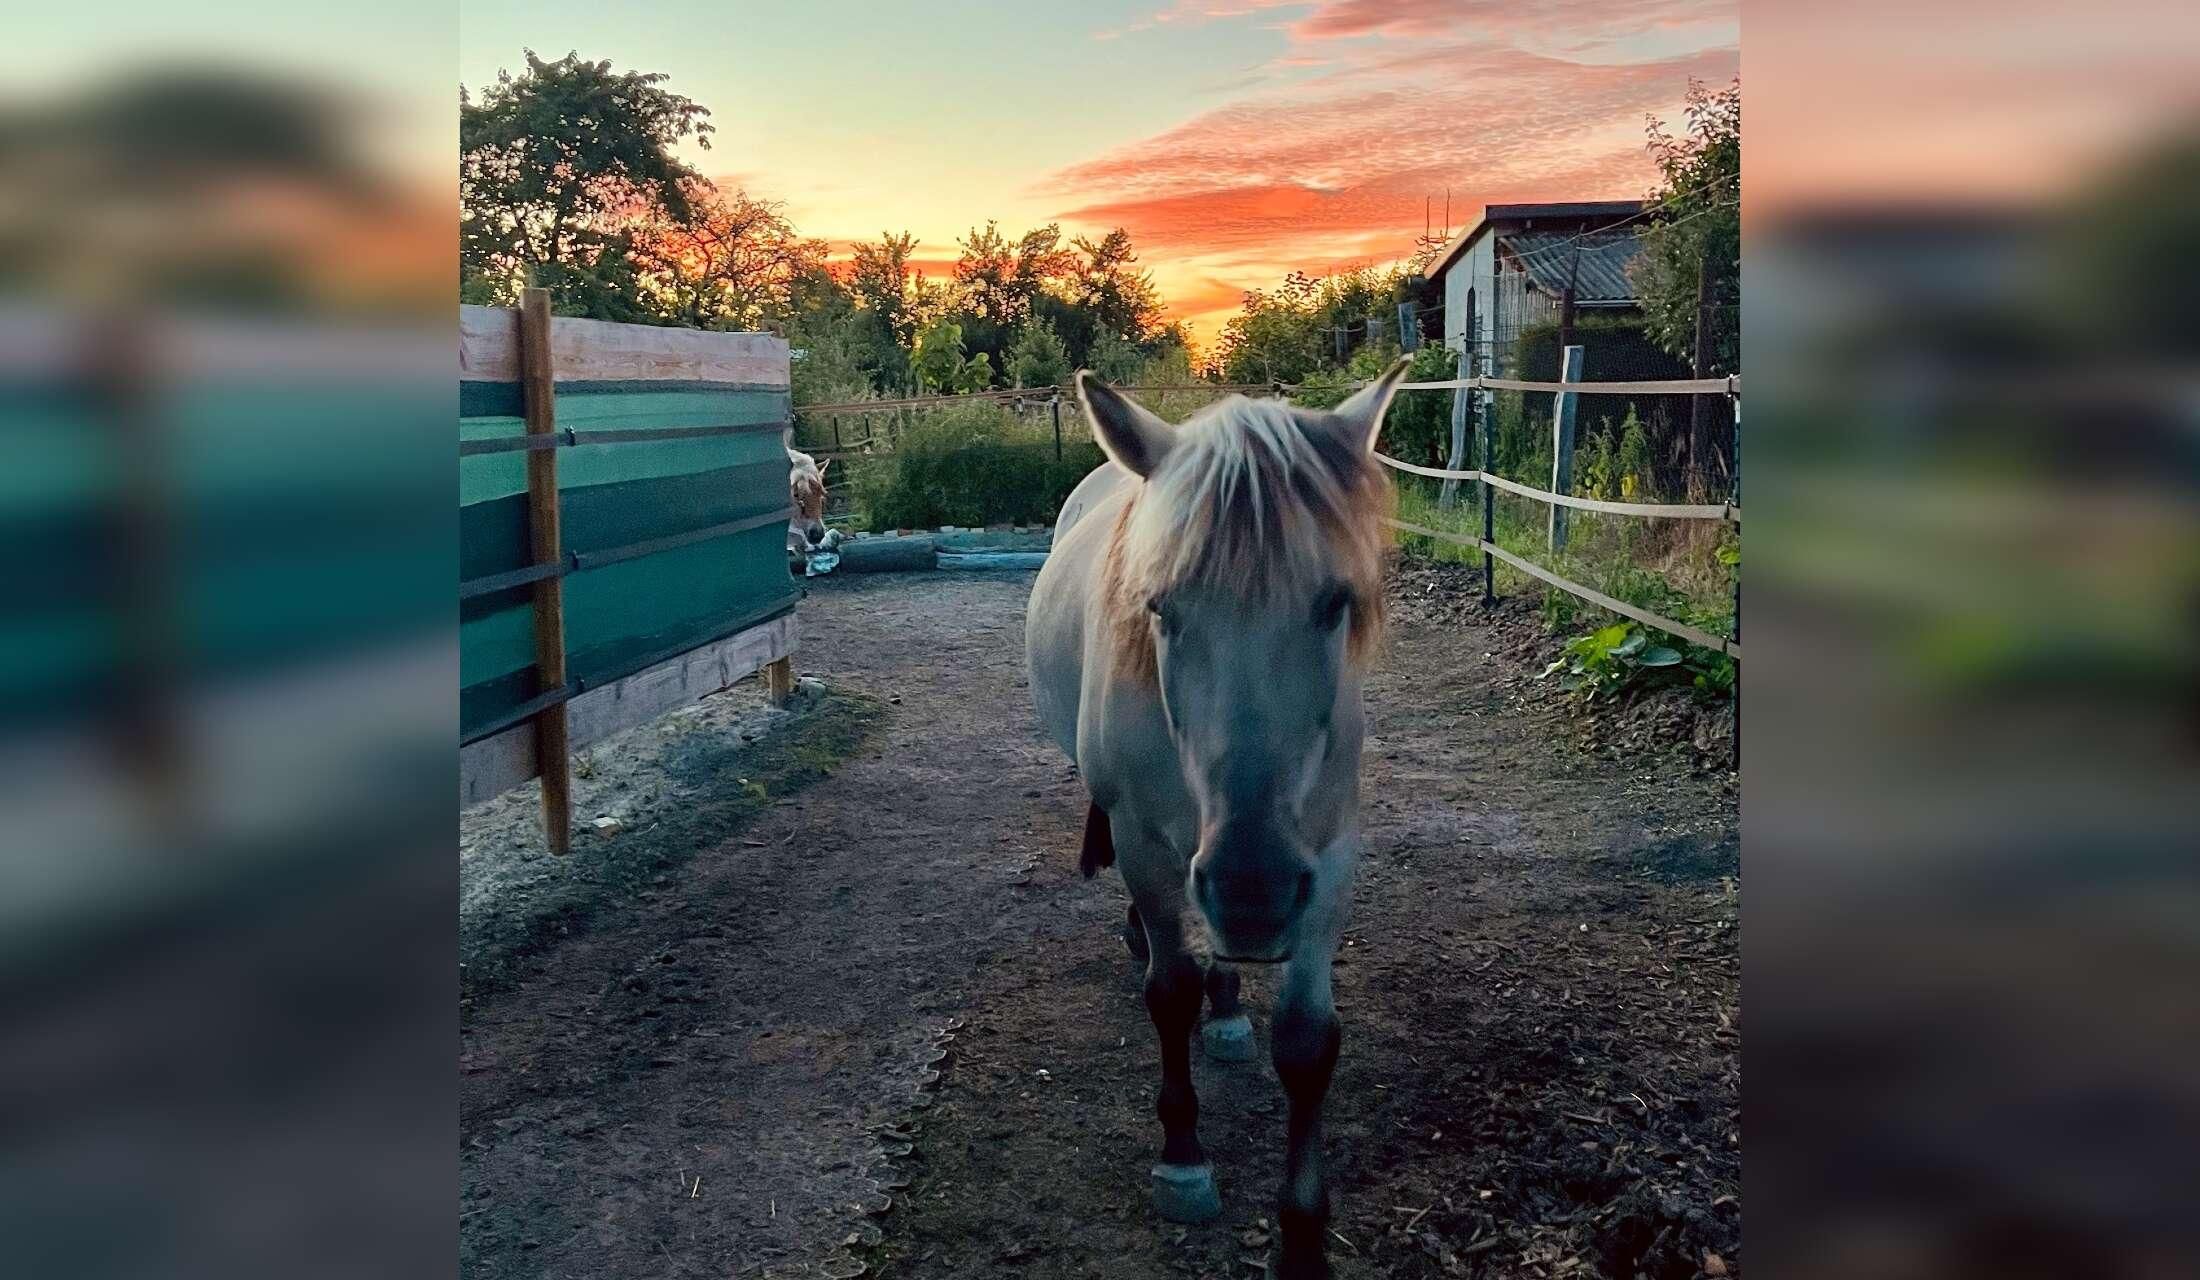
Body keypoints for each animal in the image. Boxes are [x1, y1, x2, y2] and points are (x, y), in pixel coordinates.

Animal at [1025, 362, 1407, 1280]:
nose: (1252, 892)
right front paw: (1185, 1158)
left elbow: (1307, 1042)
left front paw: (1302, 1237)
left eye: (1334, 603)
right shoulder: (1144, 843)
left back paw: (1229, 1005)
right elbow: (1169, 992)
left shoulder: (1329, 856)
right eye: (1162, 608)